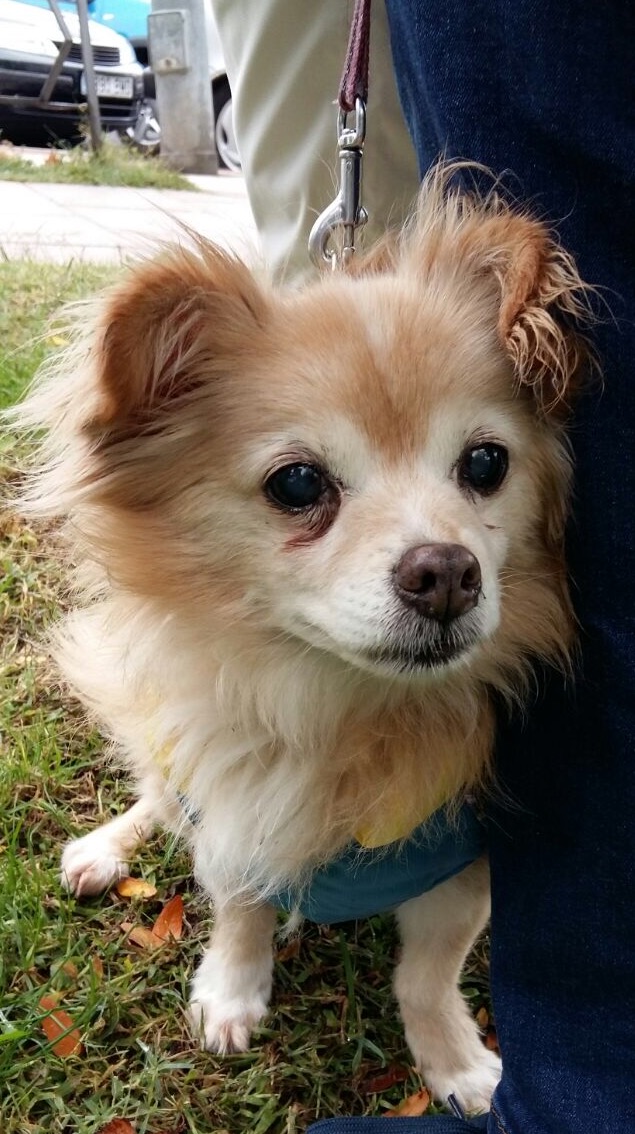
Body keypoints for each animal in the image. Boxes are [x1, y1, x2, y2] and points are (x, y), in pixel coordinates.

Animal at [15, 166, 590, 1114]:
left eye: (484, 465)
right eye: (296, 484)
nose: (446, 572)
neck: (342, 714)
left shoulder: (461, 876)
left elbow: (425, 975)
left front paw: (453, 1061)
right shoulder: (233, 819)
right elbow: (239, 907)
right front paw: (230, 993)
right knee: (156, 796)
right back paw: (104, 849)